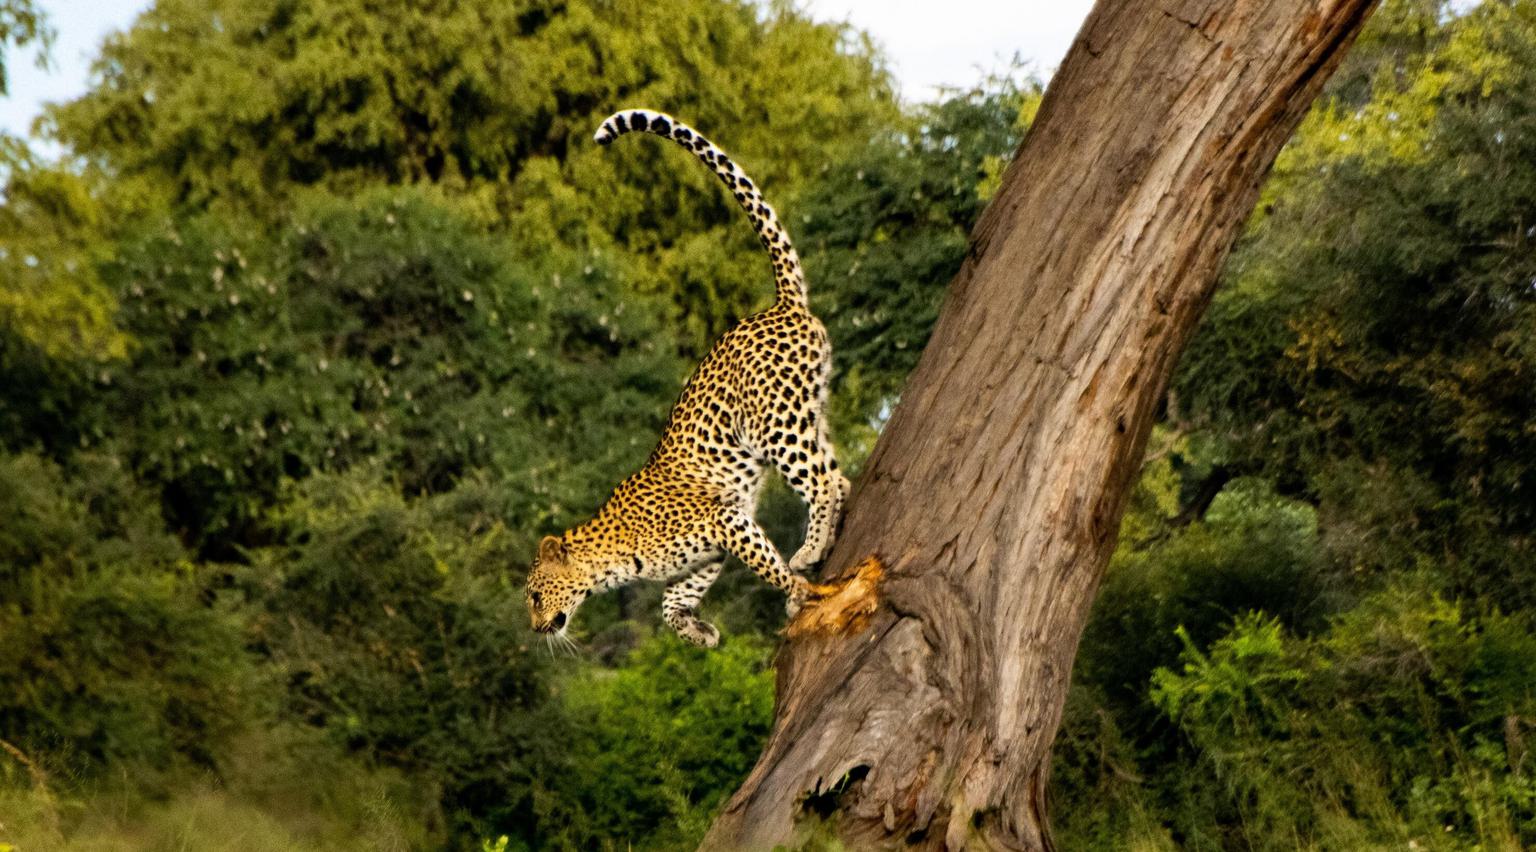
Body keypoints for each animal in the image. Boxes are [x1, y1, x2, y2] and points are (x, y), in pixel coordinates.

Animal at [524, 108, 850, 648]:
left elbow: (765, 564)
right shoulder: (704, 555)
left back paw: (810, 549)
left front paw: (793, 591)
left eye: (533, 595)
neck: (610, 559)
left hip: (774, 425)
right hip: (808, 410)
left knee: (821, 482)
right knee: (837, 475)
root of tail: (781, 304)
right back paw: (823, 542)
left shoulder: (724, 520)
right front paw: (700, 633)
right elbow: (668, 603)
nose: (533, 629)